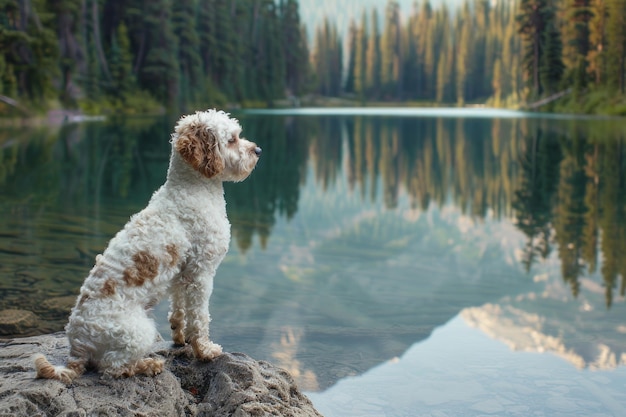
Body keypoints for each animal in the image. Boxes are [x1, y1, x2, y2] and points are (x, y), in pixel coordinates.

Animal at [33, 109, 262, 382]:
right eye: (232, 140)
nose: (258, 150)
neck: (192, 189)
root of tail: (77, 347)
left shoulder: (182, 273)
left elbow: (179, 310)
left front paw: (180, 337)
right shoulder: (201, 273)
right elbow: (200, 317)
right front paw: (205, 350)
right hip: (139, 331)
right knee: (111, 367)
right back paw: (148, 365)